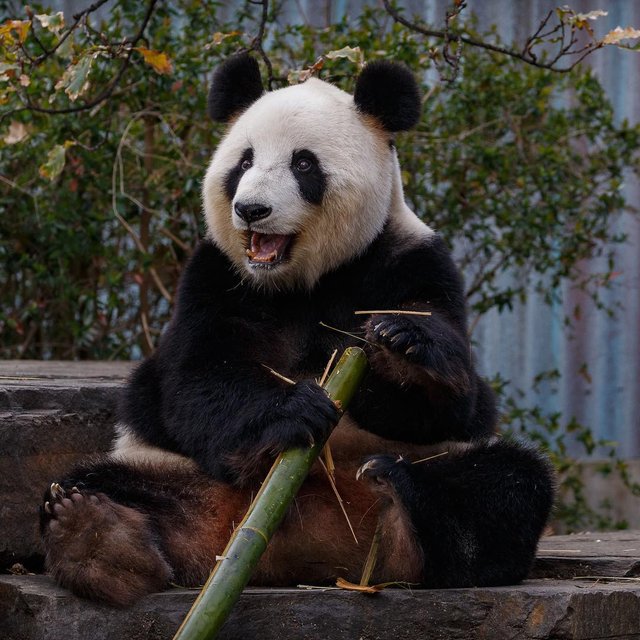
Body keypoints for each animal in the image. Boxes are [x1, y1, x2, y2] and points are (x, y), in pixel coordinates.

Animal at [38, 53, 556, 604]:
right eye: (244, 162)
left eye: (303, 164)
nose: (251, 210)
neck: (303, 280)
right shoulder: (217, 276)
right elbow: (194, 378)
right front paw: (296, 409)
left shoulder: (412, 261)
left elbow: (458, 403)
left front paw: (403, 349)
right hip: (169, 469)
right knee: (88, 483)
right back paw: (96, 538)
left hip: (440, 474)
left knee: (507, 488)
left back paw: (401, 505)